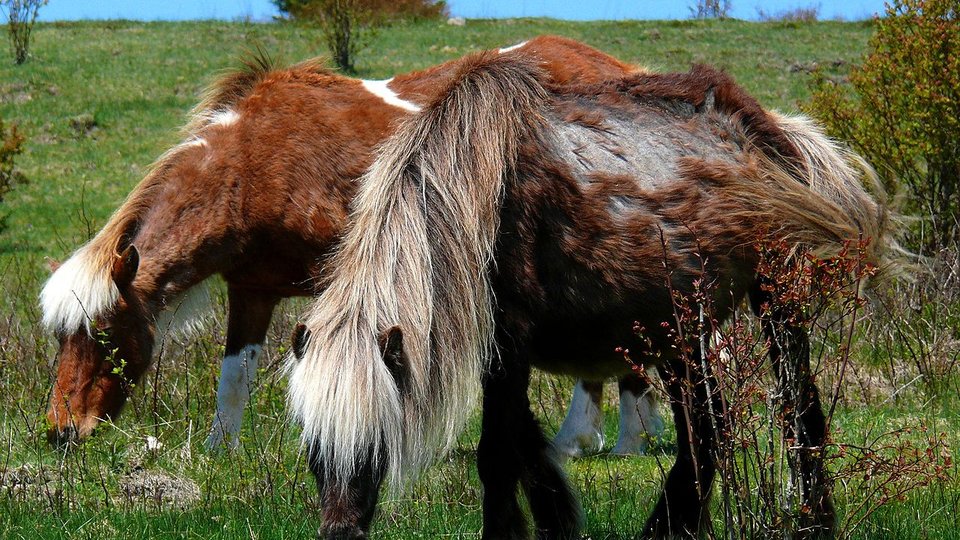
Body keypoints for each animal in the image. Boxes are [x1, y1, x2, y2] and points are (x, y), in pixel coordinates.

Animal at [41, 34, 664, 452]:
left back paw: (610, 439)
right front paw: (221, 453)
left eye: (103, 334)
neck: (252, 165)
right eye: (60, 338)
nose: (61, 431)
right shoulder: (251, 290)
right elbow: (234, 377)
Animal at [288, 51, 888, 540]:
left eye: (375, 445)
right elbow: (525, 444)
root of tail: (769, 128)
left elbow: (496, 453)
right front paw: (555, 518)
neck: (476, 194)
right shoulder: (502, 353)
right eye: (314, 450)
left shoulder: (510, 342)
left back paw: (807, 521)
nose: (339, 534)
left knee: (795, 407)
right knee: (707, 425)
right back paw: (679, 525)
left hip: (773, 296)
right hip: (675, 330)